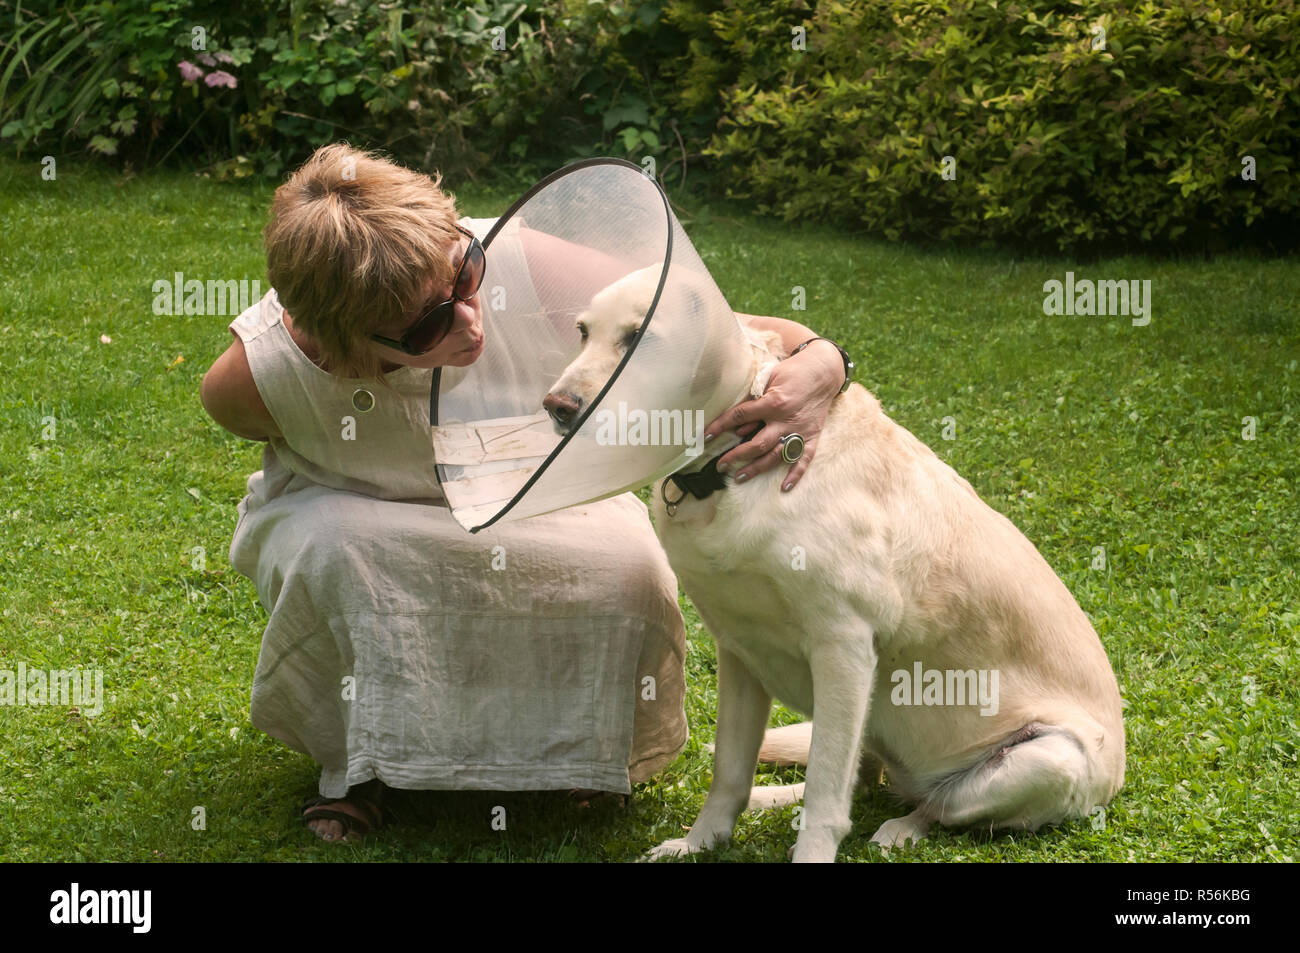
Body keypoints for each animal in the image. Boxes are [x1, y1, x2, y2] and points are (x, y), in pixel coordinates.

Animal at [543, 263, 1123, 858]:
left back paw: (898, 830)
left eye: (640, 338)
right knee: (861, 783)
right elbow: (731, 770)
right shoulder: (738, 649)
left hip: (1048, 756)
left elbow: (826, 795)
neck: (723, 472)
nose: (557, 407)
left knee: (932, 806)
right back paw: (776, 800)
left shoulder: (843, 649)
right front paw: (699, 842)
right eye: (584, 332)